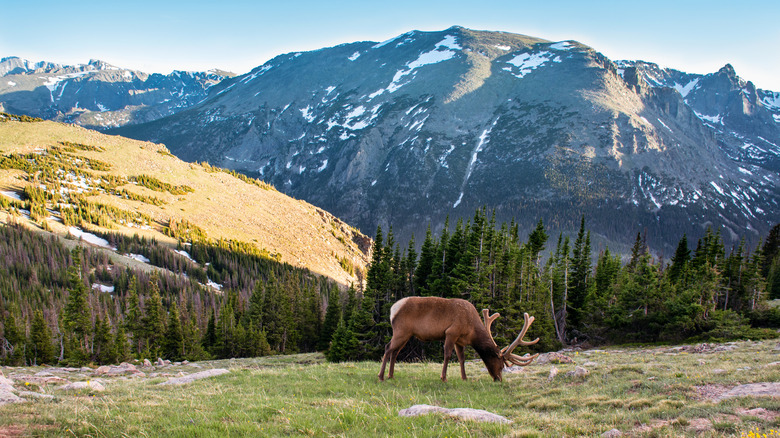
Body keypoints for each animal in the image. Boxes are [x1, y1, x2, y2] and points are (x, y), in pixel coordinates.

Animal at [378, 296, 539, 382]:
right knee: (387, 347)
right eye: (501, 365)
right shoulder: (451, 332)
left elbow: (462, 359)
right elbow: (448, 355)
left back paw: (391, 375)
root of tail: (393, 309)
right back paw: (381, 376)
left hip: (407, 334)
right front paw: (443, 377)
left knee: (395, 351)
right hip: (401, 330)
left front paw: (464, 377)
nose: (498, 379)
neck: (472, 331)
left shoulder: (460, 340)